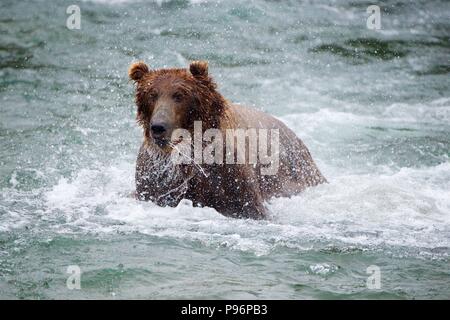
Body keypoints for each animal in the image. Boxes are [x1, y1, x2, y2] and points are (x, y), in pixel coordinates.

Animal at [128, 60, 326, 219]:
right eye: (152, 94)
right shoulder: (157, 179)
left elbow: (250, 206)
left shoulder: (229, 175)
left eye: (179, 95)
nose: (158, 127)